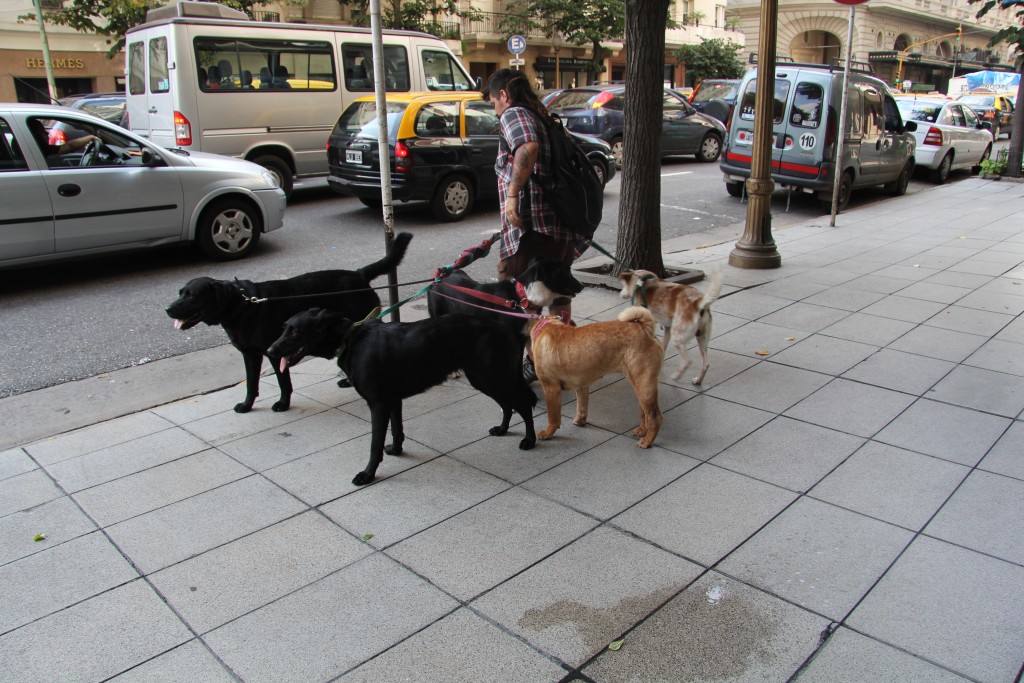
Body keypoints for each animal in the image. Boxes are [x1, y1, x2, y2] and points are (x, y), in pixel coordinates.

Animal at [165, 232, 409, 413]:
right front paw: (247, 405)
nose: (167, 309)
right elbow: (251, 383)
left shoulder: (274, 352)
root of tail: (359, 274)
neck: (243, 306)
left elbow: (284, 382)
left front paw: (283, 404)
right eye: (180, 293)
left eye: (191, 296)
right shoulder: (250, 355)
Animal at [268, 307, 540, 489]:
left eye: (295, 331)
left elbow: (374, 444)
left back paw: (530, 440)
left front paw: (368, 474)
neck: (350, 340)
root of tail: (509, 330)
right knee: (508, 405)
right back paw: (503, 429)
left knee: (524, 405)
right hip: (483, 379)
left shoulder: (378, 404)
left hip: (495, 378)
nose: (270, 350)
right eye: (283, 328)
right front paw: (397, 450)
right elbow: (397, 430)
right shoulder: (392, 400)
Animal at [528, 305, 663, 448]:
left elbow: (553, 416)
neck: (546, 325)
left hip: (644, 385)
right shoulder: (581, 385)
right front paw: (580, 421)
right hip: (639, 384)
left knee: (655, 417)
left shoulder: (550, 388)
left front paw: (547, 433)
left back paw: (647, 441)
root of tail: (645, 329)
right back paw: (641, 431)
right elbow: (581, 406)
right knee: (644, 413)